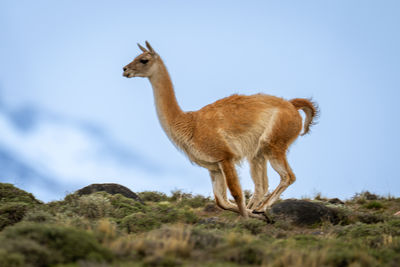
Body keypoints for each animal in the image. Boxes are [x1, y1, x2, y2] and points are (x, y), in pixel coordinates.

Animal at [123, 40, 318, 219]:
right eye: (136, 57)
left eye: (143, 60)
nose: (124, 69)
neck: (189, 123)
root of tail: (291, 105)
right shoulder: (214, 167)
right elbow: (221, 201)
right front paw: (248, 213)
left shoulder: (225, 156)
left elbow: (236, 194)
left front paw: (246, 219)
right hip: (257, 153)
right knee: (261, 186)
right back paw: (256, 209)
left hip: (273, 142)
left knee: (288, 177)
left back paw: (262, 208)